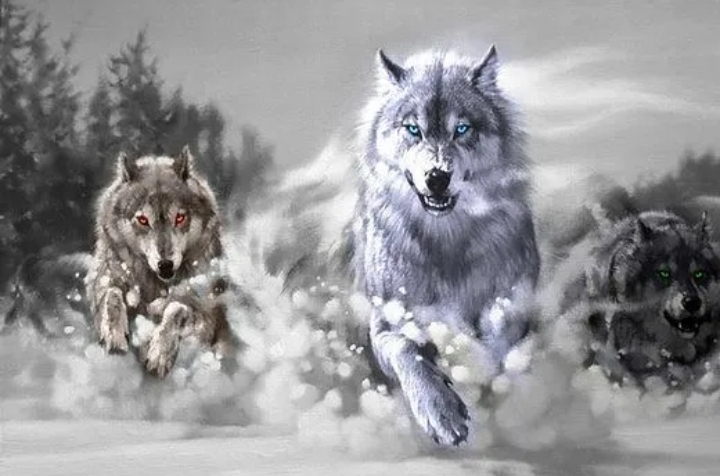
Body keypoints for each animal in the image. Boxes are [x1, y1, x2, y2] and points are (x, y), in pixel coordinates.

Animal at [86, 146, 234, 378]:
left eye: (180, 218)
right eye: (143, 220)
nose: (165, 264)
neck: (155, 286)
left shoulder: (204, 314)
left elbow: (176, 309)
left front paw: (159, 354)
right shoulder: (101, 280)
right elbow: (112, 294)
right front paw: (114, 335)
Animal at [351, 46, 541, 446]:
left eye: (462, 129)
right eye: (413, 129)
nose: (437, 177)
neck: (446, 240)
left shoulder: (514, 307)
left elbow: (497, 350)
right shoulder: (386, 323)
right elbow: (408, 349)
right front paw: (442, 412)